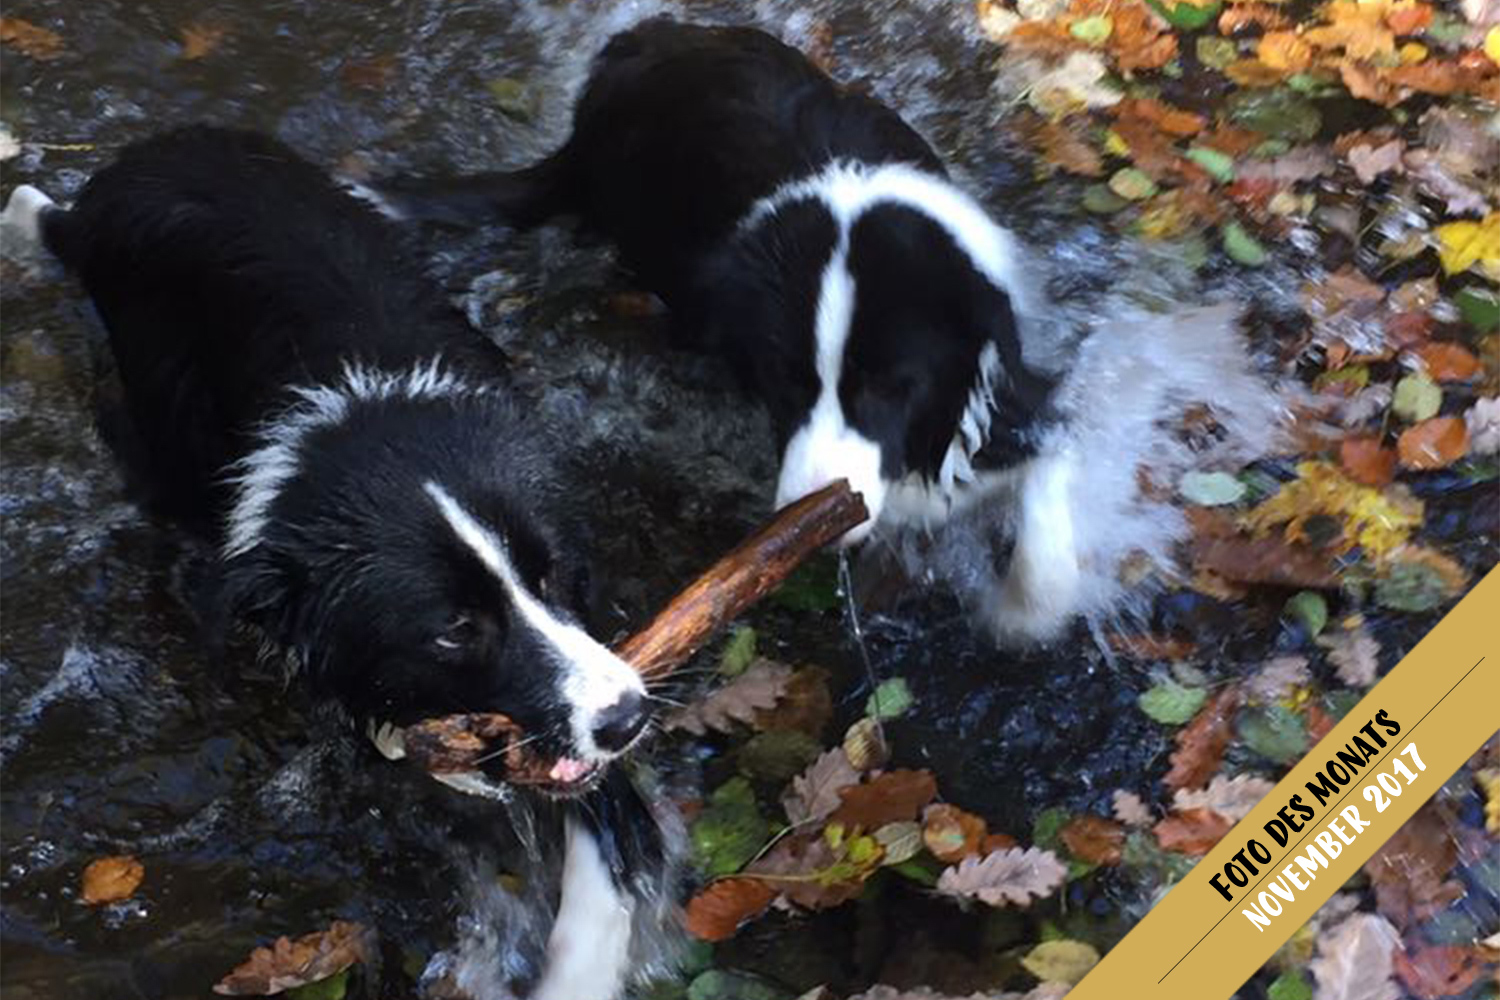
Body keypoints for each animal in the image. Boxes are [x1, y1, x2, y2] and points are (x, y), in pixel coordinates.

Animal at [1, 127, 669, 1000]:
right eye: (455, 631)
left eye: (551, 573)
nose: (628, 716)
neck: (365, 432)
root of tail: (132, 168)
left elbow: (602, 826)